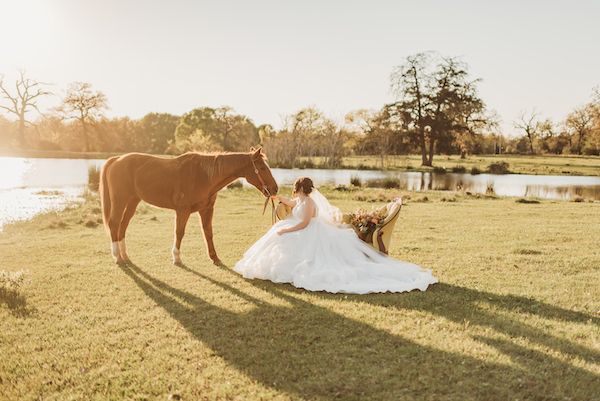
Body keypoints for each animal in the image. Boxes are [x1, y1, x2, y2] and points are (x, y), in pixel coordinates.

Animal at [99, 147, 278, 266]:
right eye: (262, 167)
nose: (275, 189)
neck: (203, 176)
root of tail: (116, 159)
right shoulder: (182, 211)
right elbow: (179, 233)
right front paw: (176, 258)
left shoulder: (206, 210)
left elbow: (208, 233)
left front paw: (214, 257)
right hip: (120, 200)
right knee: (114, 224)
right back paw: (117, 257)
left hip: (132, 201)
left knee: (122, 225)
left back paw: (124, 255)